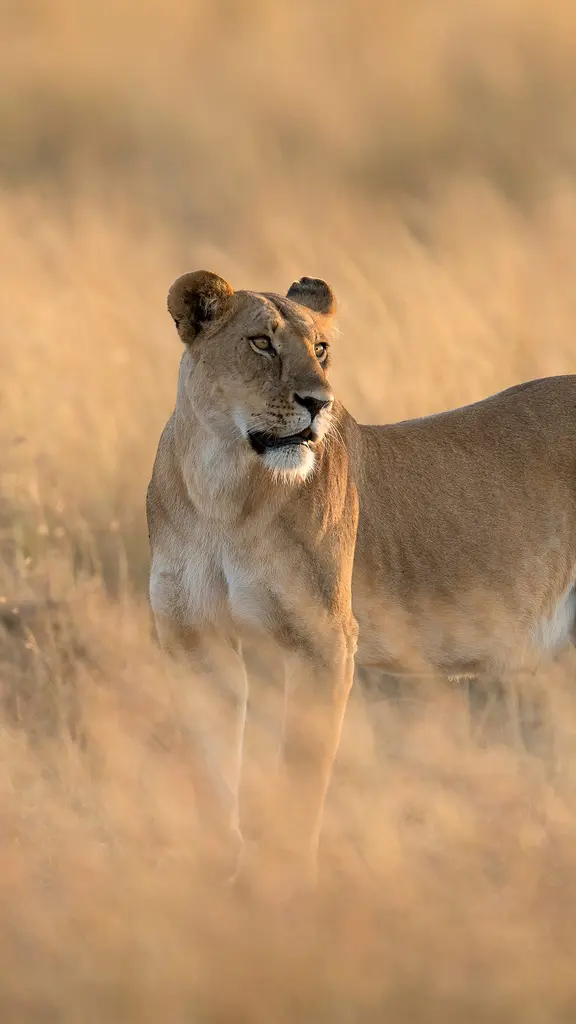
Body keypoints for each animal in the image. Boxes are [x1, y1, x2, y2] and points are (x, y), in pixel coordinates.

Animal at [147, 270, 576, 889]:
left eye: (321, 349)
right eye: (262, 343)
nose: (319, 403)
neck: (221, 487)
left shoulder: (322, 638)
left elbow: (302, 770)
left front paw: (287, 880)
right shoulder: (192, 636)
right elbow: (211, 765)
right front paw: (213, 872)